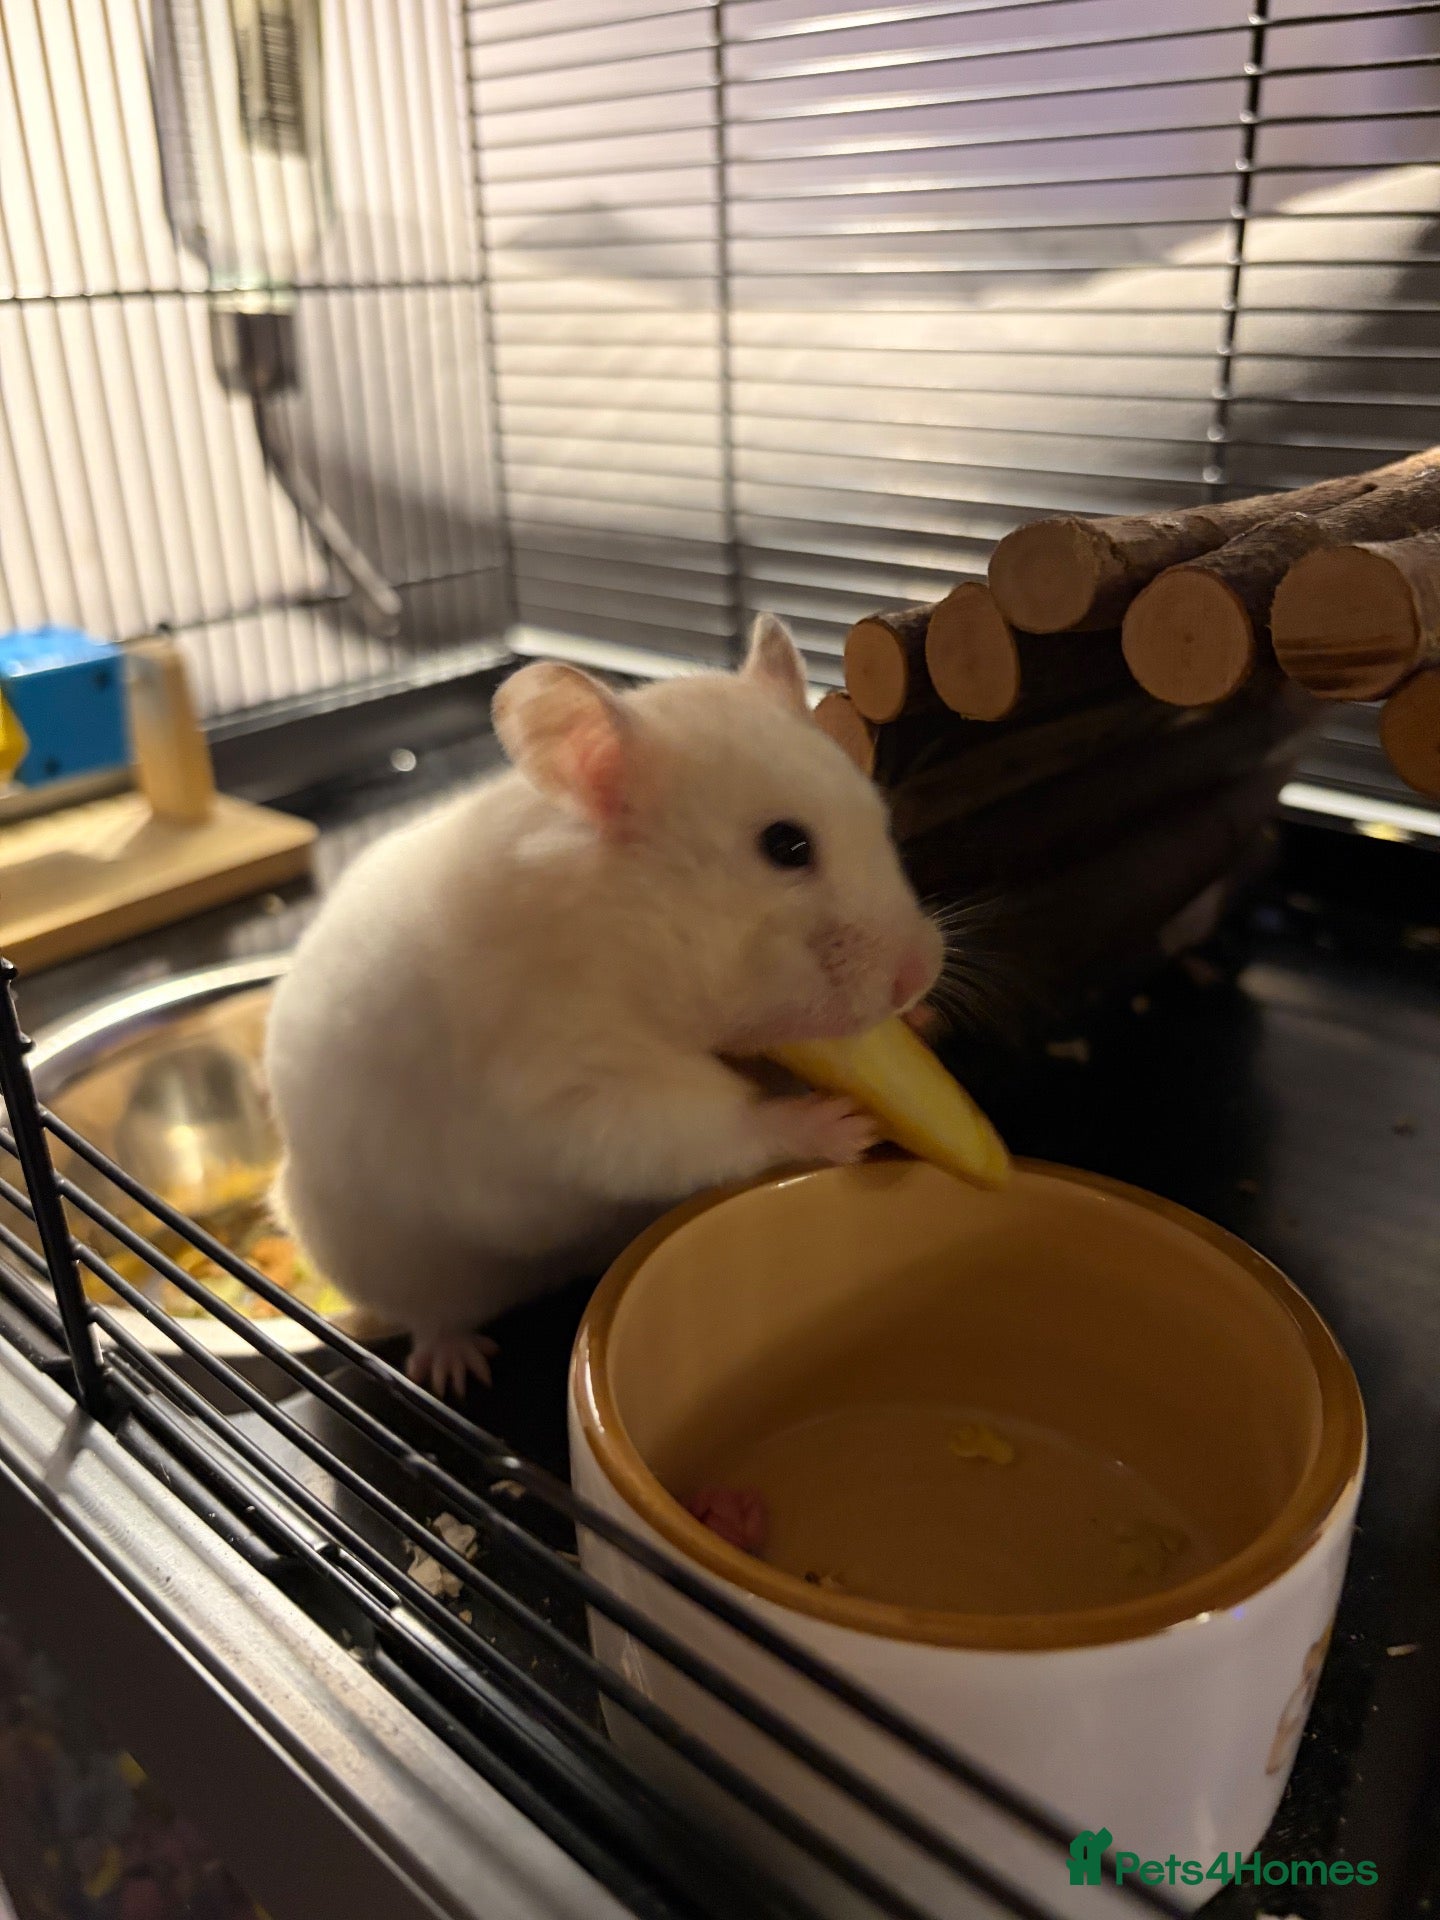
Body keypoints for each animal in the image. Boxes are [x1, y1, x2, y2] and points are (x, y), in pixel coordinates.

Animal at [264, 615, 944, 1395]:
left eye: (879, 818)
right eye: (786, 845)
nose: (921, 975)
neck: (632, 944)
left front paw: (920, 1025)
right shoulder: (582, 1096)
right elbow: (722, 1126)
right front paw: (844, 1127)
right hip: (384, 1257)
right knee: (430, 1316)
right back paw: (458, 1370)